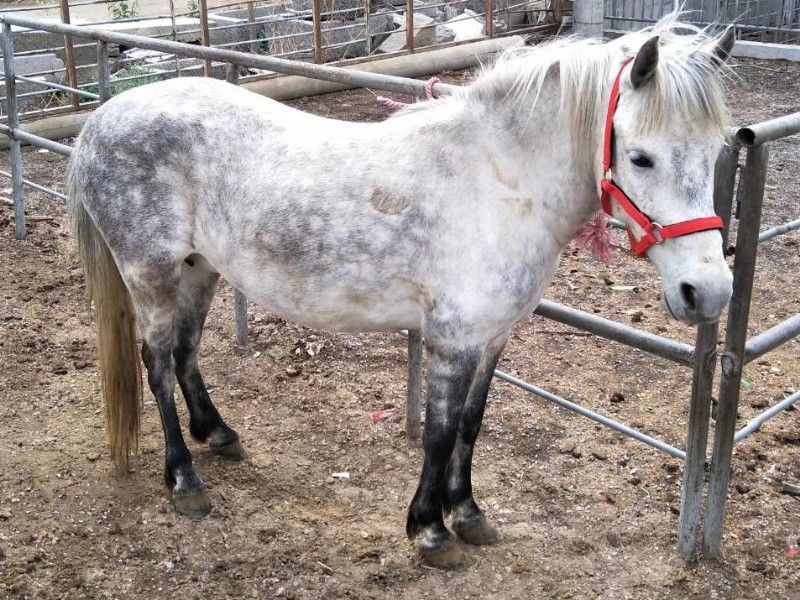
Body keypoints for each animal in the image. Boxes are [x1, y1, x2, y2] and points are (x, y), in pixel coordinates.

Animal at [68, 16, 735, 569]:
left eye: (718, 152)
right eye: (640, 158)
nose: (708, 292)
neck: (498, 182)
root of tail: (103, 120)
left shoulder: (492, 338)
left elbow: (470, 424)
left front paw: (469, 516)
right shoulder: (451, 340)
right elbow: (439, 432)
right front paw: (431, 532)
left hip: (200, 269)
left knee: (185, 354)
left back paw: (219, 436)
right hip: (151, 275)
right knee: (157, 362)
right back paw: (184, 481)